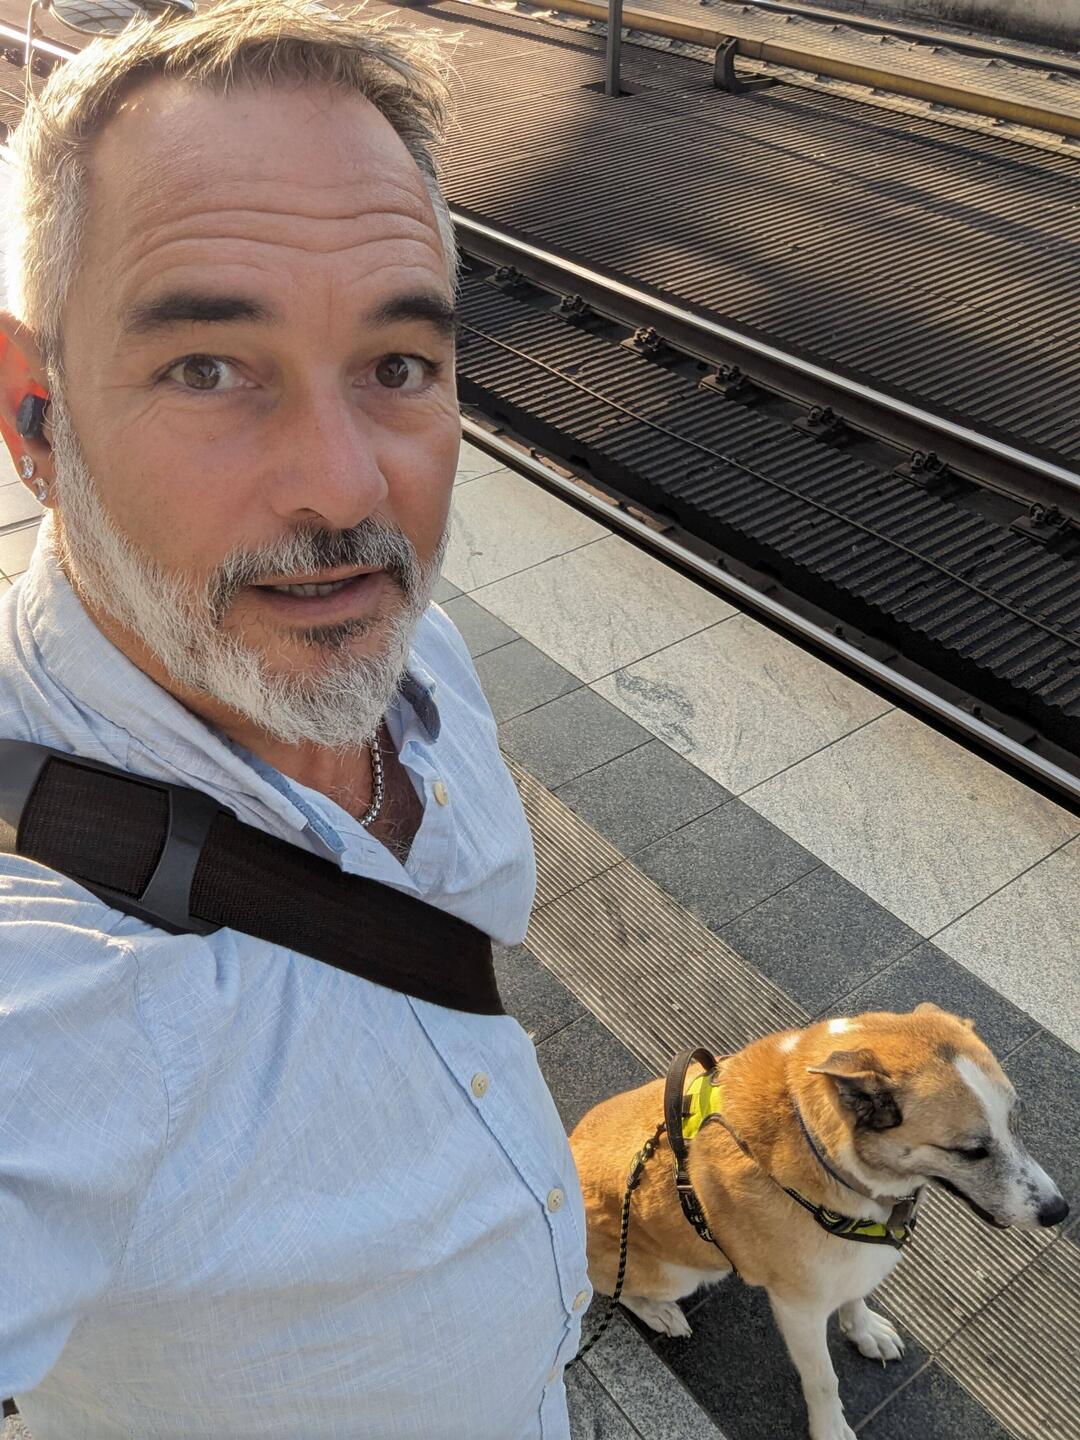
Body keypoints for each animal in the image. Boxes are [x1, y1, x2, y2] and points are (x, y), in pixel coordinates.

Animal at [569, 1003, 1069, 1440]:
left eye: (1017, 1122)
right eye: (971, 1151)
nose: (1059, 1212)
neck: (821, 1146)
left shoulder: (855, 1257)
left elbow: (857, 1296)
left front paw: (864, 1331)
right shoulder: (799, 1308)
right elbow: (824, 1380)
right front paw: (830, 1429)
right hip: (675, 1273)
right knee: (610, 1292)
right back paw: (660, 1312)